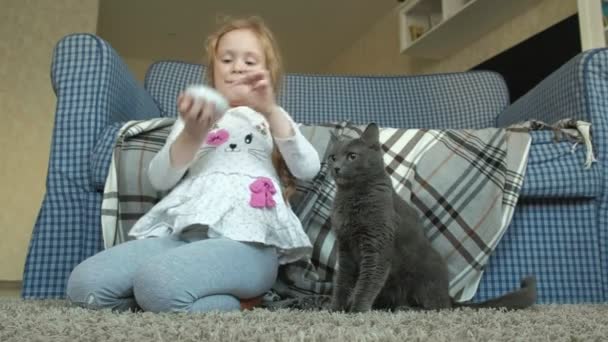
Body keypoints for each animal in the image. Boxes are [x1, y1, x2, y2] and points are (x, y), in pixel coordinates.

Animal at [326, 123, 536, 312]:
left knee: (437, 306)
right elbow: (342, 283)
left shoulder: (377, 247)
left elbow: (367, 284)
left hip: (425, 272)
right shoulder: (345, 248)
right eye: (332, 157)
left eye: (352, 156)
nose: (336, 167)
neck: (350, 197)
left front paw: (357, 311)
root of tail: (448, 294)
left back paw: (407, 309)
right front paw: (336, 310)